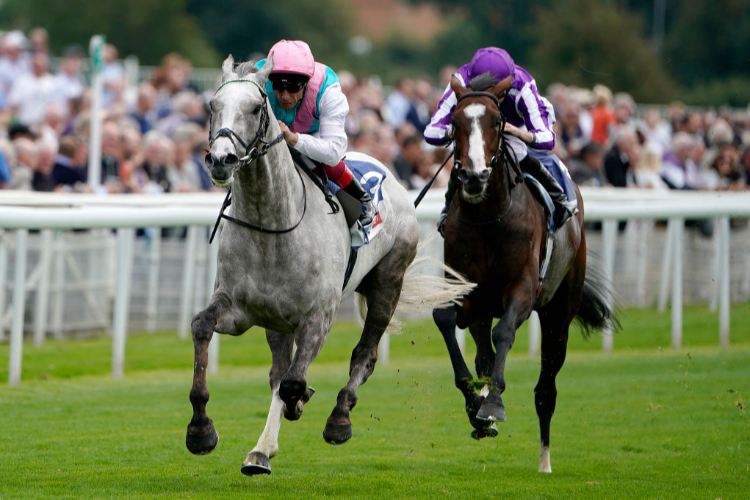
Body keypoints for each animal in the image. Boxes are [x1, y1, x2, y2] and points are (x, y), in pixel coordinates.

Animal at [185, 55, 472, 476]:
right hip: (275, 320)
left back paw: (338, 418)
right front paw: (201, 429)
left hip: (388, 284)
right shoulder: (239, 309)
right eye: (212, 106)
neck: (273, 225)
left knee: (363, 356)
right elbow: (203, 327)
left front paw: (302, 400)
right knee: (278, 371)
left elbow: (294, 381)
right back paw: (261, 450)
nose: (221, 160)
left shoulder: (318, 316)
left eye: (254, 108)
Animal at [432, 72, 620, 470]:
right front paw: (475, 404)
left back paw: (544, 461)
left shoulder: (521, 287)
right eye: (454, 122)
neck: (487, 218)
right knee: (484, 355)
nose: (474, 175)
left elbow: (505, 332)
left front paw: (493, 404)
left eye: (497, 122)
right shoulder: (464, 288)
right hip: (484, 308)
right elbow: (445, 319)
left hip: (559, 312)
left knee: (546, 387)